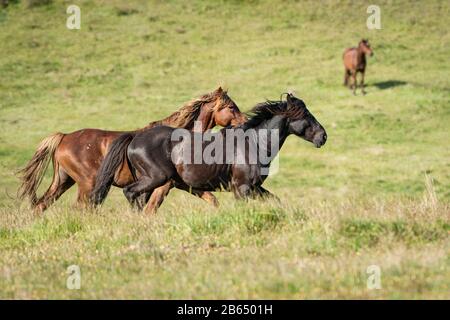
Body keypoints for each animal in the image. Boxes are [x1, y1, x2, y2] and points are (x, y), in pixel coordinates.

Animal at [17, 87, 246, 212]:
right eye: (231, 107)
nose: (245, 122)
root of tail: (64, 137)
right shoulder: (162, 186)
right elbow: (150, 210)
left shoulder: (182, 184)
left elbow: (212, 200)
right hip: (87, 184)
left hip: (63, 181)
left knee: (42, 206)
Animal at [92, 94, 326, 214]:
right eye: (306, 115)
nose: (323, 137)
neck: (253, 143)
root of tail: (135, 137)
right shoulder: (241, 188)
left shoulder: (254, 188)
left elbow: (275, 200)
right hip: (156, 178)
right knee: (131, 193)